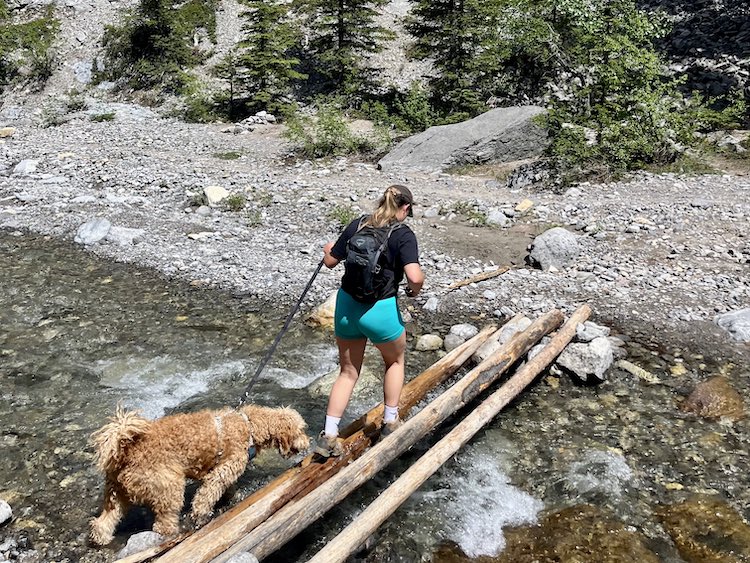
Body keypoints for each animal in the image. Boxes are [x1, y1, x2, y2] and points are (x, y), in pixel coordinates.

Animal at [89, 406, 312, 548]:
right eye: (301, 430)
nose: (308, 442)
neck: (249, 425)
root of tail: (124, 450)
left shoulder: (226, 470)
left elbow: (229, 487)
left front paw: (233, 496)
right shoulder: (221, 472)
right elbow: (205, 496)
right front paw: (201, 515)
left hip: (116, 494)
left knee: (104, 521)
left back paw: (101, 538)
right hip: (169, 487)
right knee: (163, 523)